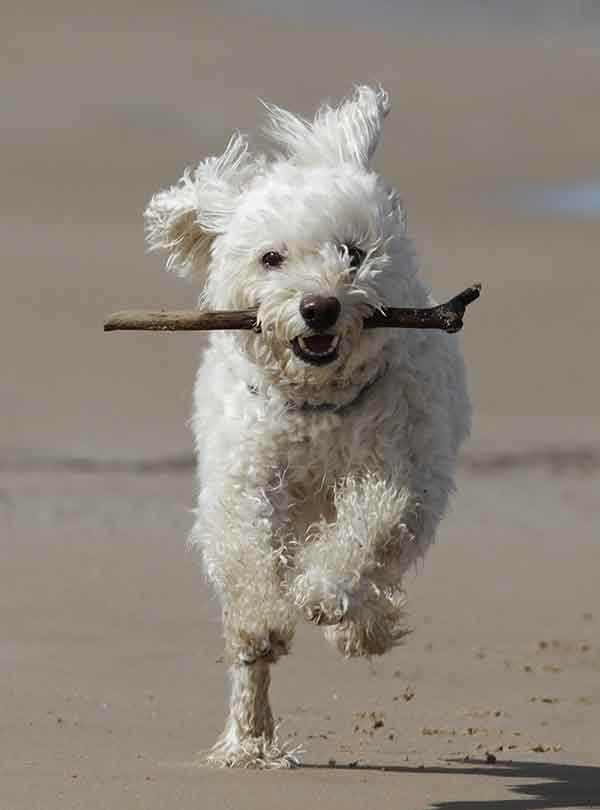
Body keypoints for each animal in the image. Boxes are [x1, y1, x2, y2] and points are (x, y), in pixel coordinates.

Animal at [144, 85, 468, 768]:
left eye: (353, 252)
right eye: (271, 258)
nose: (319, 306)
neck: (321, 406)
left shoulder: (398, 477)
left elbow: (367, 533)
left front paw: (324, 592)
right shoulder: (245, 480)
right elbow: (246, 554)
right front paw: (266, 615)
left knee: (379, 570)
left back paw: (362, 628)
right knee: (252, 664)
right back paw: (250, 738)